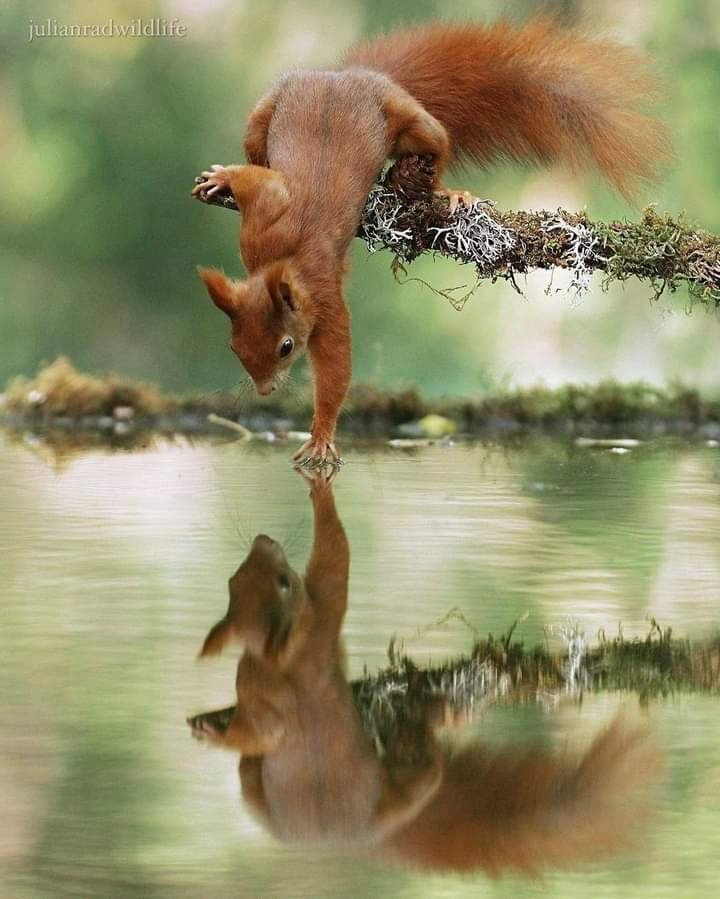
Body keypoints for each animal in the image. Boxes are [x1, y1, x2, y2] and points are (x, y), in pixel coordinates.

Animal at [188, 469, 661, 873]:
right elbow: (334, 561)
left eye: (237, 579)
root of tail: (367, 840)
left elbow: (257, 729)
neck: (278, 660)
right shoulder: (319, 628)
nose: (264, 539)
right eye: (278, 581)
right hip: (388, 787)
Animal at [193, 18, 668, 465]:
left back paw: (447, 192)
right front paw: (222, 178)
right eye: (234, 346)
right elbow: (260, 182)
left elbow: (336, 370)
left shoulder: (324, 300)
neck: (283, 261)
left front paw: (322, 436)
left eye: (287, 347)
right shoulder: (261, 226)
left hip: (410, 120)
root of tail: (350, 75)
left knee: (435, 145)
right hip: (265, 112)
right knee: (256, 148)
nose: (265, 390)